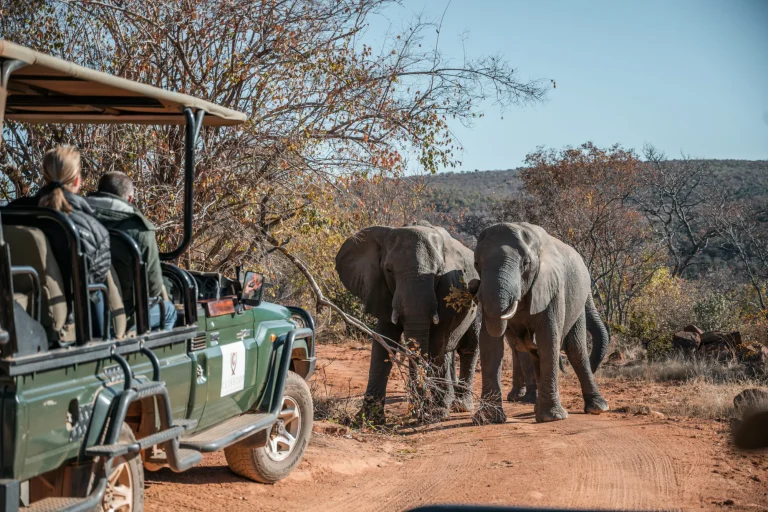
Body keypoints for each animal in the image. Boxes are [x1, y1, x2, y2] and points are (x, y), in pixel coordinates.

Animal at [335, 220, 480, 423]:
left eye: (438, 273)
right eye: (388, 270)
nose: (418, 412)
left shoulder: (447, 289)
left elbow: (436, 345)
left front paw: (436, 413)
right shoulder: (381, 289)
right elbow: (383, 343)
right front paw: (369, 418)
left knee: (467, 347)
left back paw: (460, 406)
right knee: (450, 351)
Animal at [469, 222, 610, 424]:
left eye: (525, 264)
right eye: (476, 264)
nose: (472, 286)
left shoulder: (552, 287)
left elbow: (548, 338)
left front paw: (552, 418)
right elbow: (490, 344)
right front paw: (488, 419)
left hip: (577, 305)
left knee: (575, 349)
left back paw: (597, 408)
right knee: (535, 354)